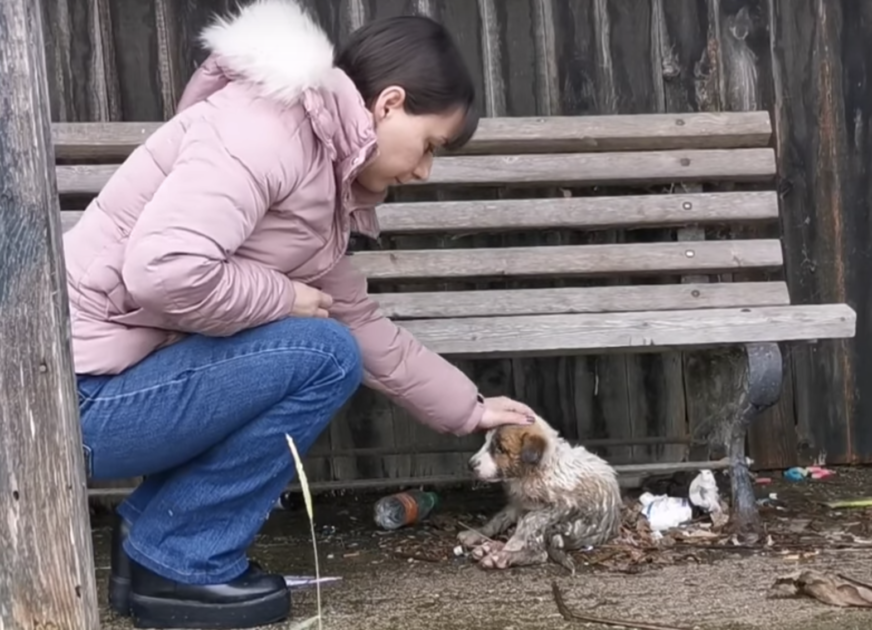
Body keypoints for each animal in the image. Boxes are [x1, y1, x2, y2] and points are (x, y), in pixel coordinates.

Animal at [460, 414, 624, 572]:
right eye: (486, 442)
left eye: (500, 448)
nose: (469, 465)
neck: (533, 471)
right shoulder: (519, 503)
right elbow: (498, 519)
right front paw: (475, 533)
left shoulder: (562, 506)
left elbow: (530, 521)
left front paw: (511, 546)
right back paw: (490, 548)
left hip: (562, 527)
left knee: (540, 552)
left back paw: (500, 557)